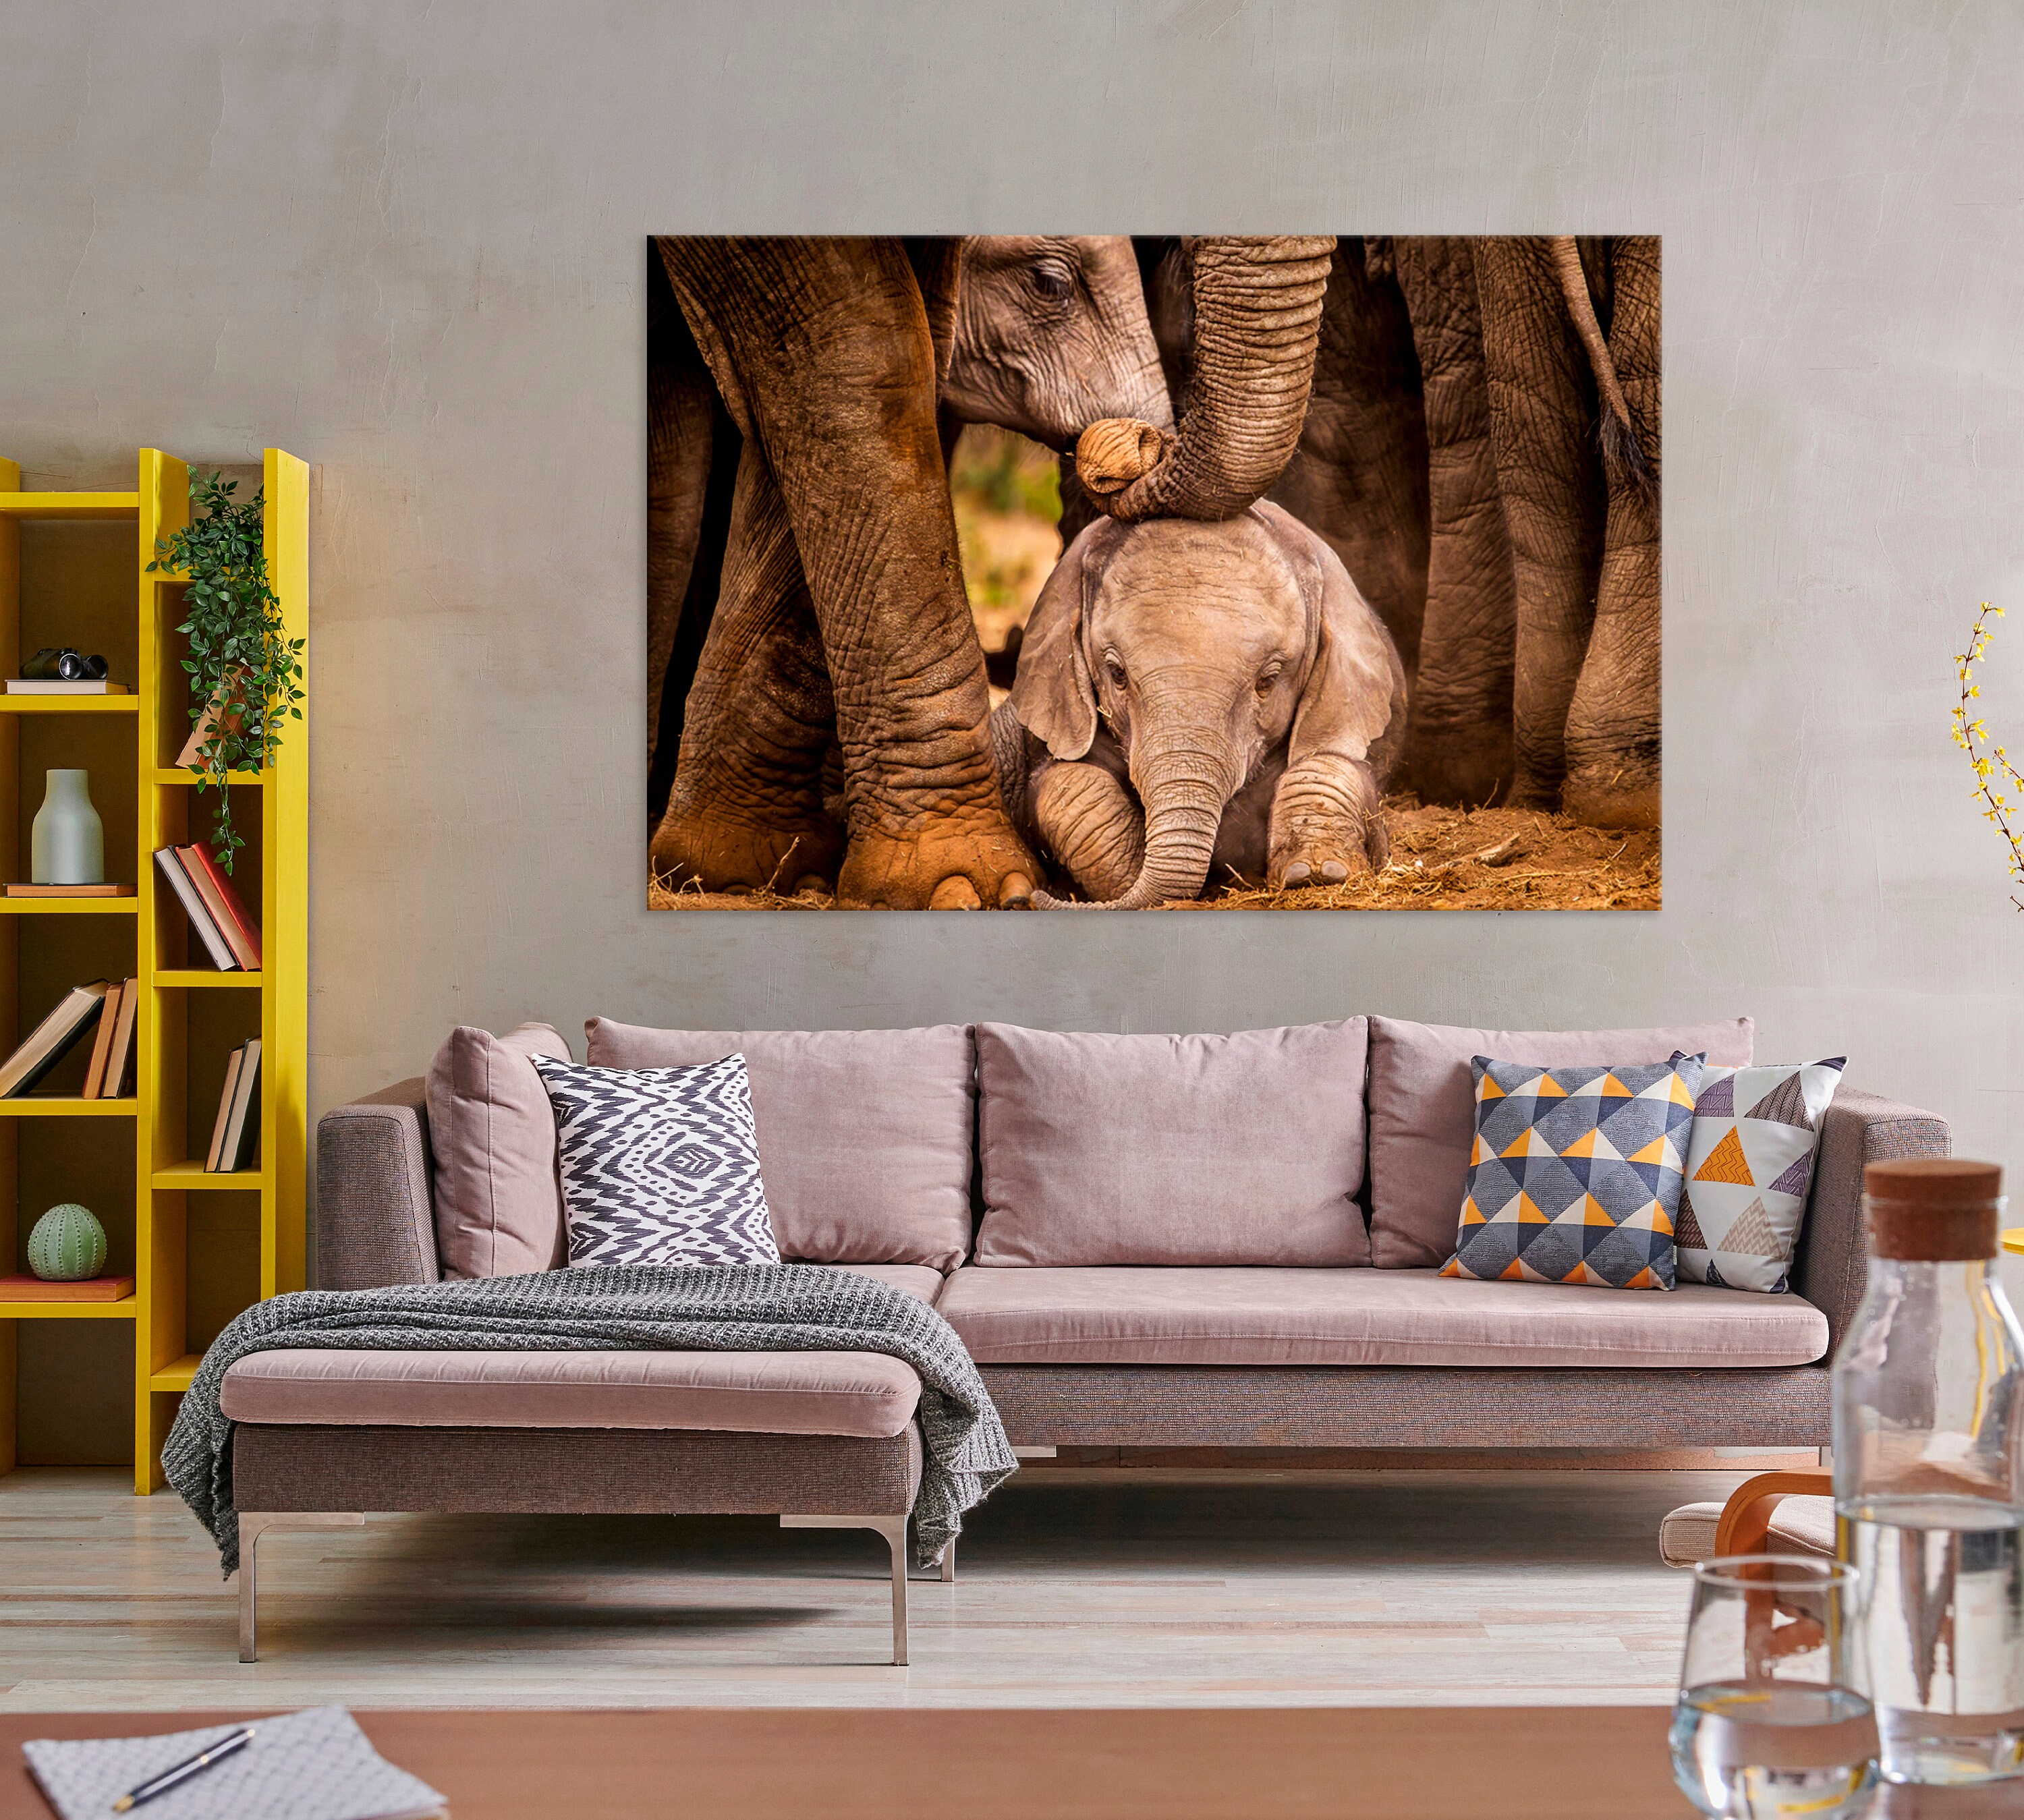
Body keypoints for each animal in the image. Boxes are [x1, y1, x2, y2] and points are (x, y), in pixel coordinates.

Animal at [990, 500, 1406, 909]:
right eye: (1117, 674)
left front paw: (1316, 874)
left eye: (1268, 681)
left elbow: (1329, 764)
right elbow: (1069, 782)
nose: (1026, 899)